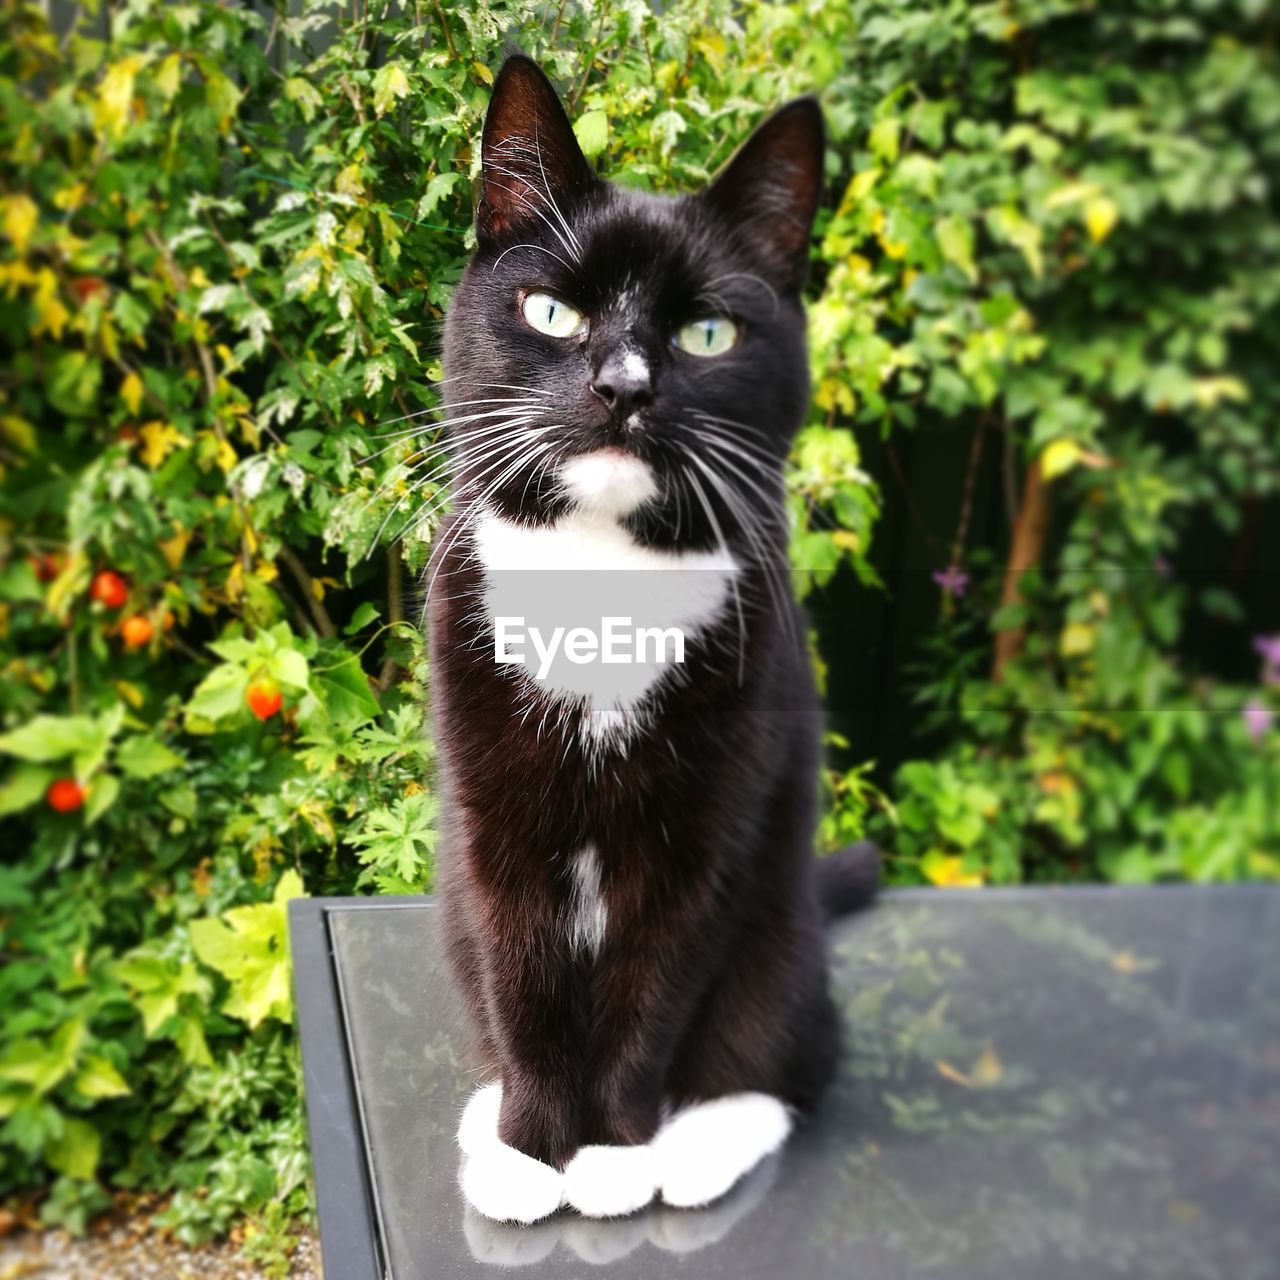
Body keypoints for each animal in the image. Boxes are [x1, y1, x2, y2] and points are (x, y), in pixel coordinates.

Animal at [430, 55, 880, 1223]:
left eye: (705, 334)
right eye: (551, 310)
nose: (623, 385)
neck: (603, 569)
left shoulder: (708, 826)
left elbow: (657, 983)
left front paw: (616, 1153)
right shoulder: (490, 814)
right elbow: (520, 970)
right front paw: (529, 1150)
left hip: (778, 931)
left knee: (788, 1054)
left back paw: (703, 1143)